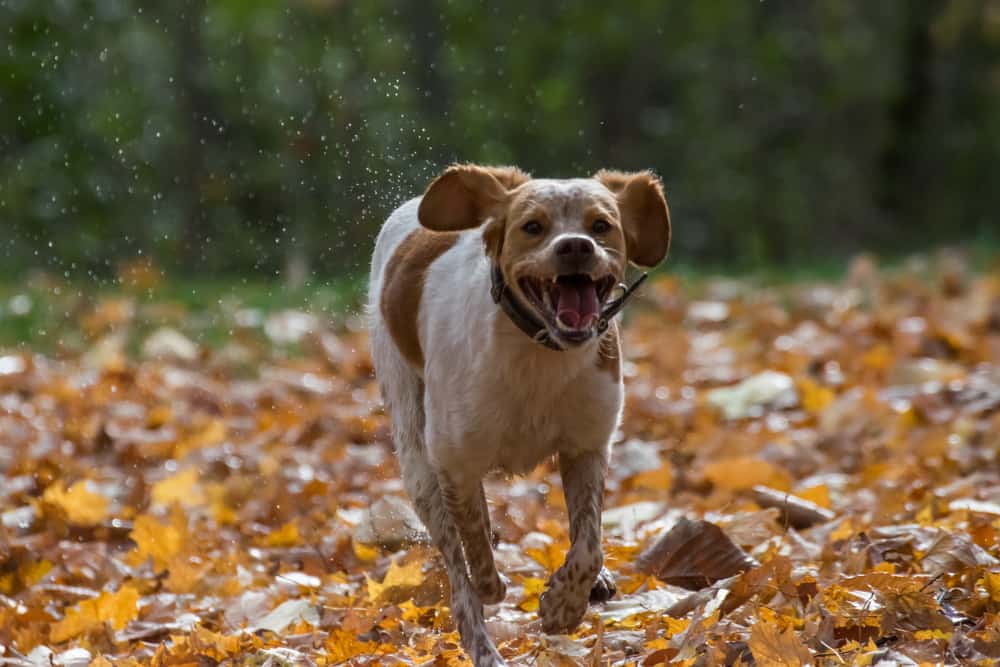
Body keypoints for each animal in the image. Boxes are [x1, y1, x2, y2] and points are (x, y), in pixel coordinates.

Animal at [368, 164, 672, 664]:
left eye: (601, 225)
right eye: (533, 226)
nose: (575, 246)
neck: (540, 352)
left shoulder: (587, 446)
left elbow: (588, 544)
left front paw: (564, 604)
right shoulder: (454, 465)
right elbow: (475, 554)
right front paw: (497, 584)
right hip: (416, 462)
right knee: (459, 580)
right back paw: (485, 645)